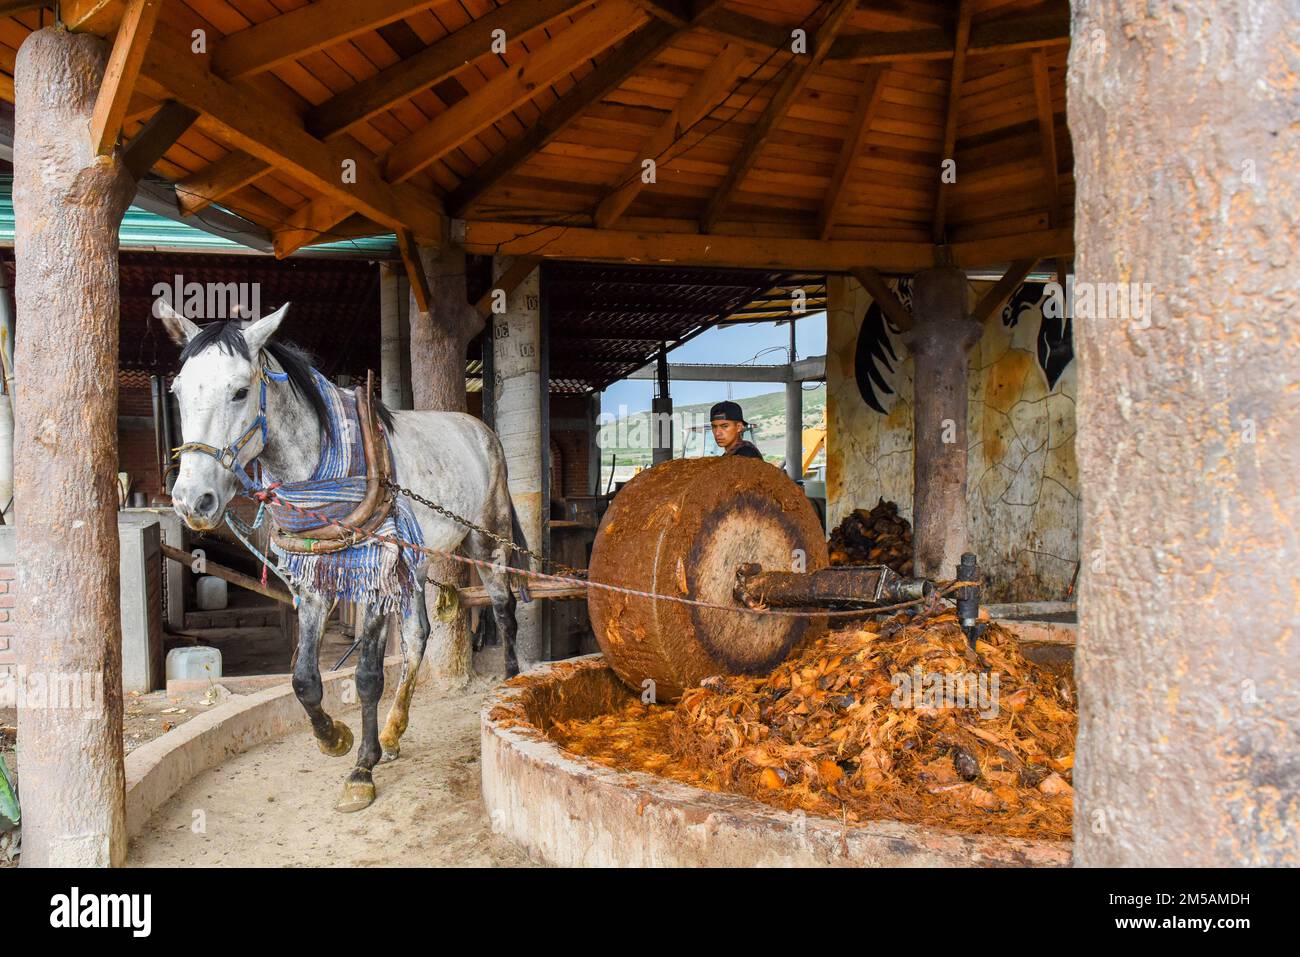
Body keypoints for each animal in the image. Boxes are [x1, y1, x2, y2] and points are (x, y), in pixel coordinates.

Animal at [161, 302, 522, 811]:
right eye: (177, 391)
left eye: (240, 391)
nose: (193, 501)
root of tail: (478, 427)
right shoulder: (316, 581)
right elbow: (302, 679)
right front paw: (335, 738)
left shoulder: (372, 575)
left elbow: (368, 675)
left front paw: (361, 770)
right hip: (414, 562)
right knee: (418, 636)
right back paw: (393, 732)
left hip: (488, 541)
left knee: (505, 612)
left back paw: (508, 683)